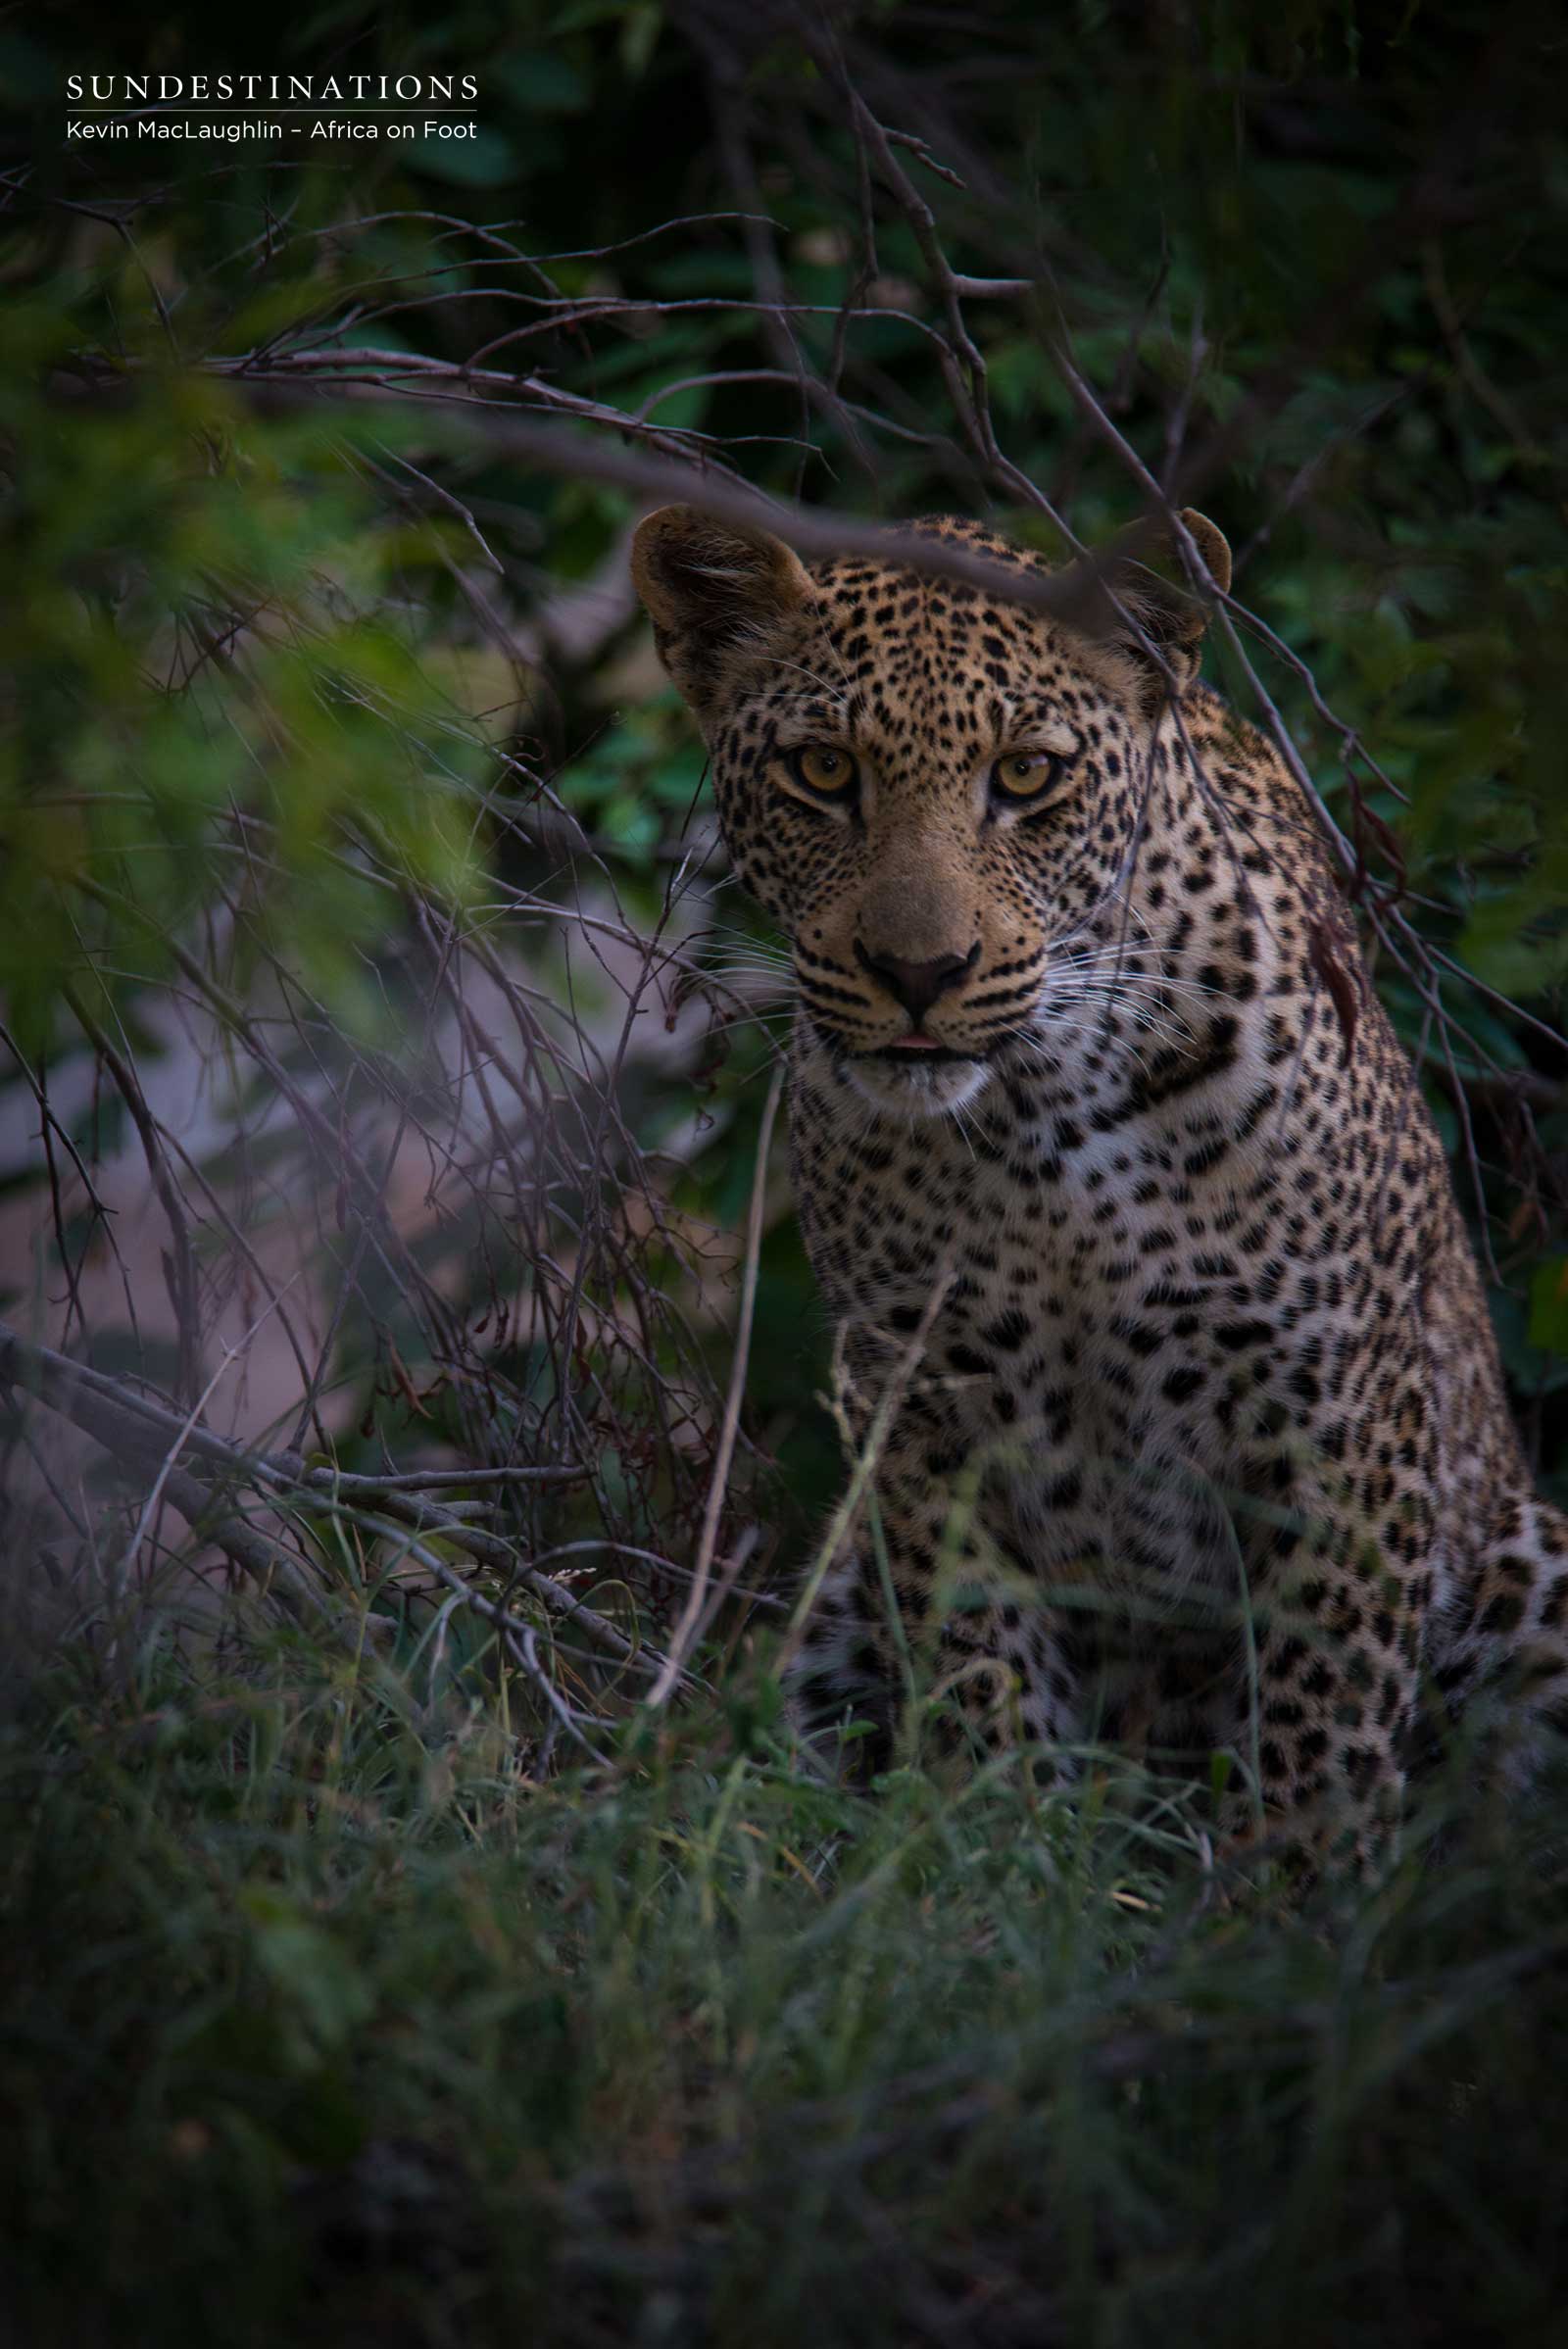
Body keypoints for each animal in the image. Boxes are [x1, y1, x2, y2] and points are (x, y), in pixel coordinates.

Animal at [632, 498, 1568, 1870]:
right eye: (821, 772)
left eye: (1027, 777)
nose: (919, 973)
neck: (1042, 1125)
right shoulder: (921, 1403)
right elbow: (977, 1660)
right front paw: (993, 1859)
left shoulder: (1335, 1400)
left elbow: (1326, 1698)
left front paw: (1303, 1889)